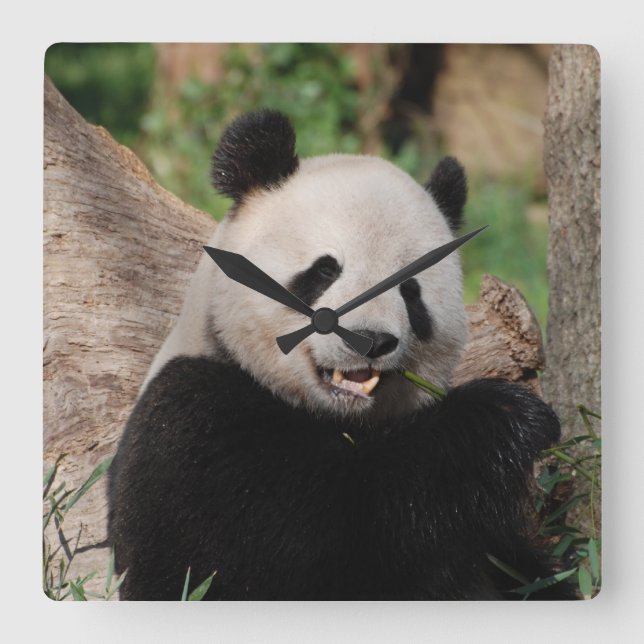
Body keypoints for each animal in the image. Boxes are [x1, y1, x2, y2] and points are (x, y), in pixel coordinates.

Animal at [108, 109, 575, 600]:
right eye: (325, 271)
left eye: (410, 291)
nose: (370, 340)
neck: (339, 418)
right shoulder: (193, 423)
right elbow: (318, 532)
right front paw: (505, 416)